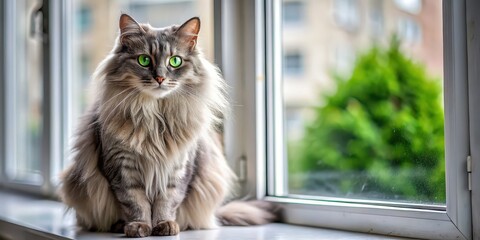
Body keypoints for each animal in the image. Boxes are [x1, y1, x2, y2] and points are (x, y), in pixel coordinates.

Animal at [59, 14, 278, 237]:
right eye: (144, 60)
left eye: (175, 61)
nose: (160, 78)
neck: (155, 117)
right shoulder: (122, 166)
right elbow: (135, 202)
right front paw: (139, 226)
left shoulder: (178, 166)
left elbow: (167, 201)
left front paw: (165, 225)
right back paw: (120, 225)